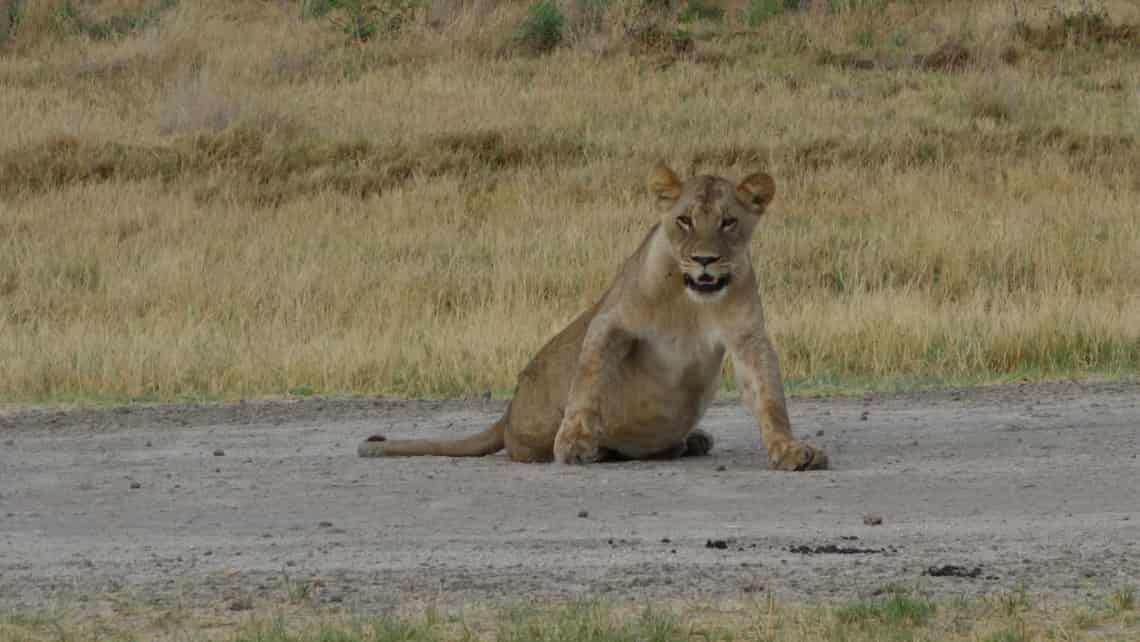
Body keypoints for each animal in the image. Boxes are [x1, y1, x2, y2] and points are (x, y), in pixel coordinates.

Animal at [362, 163, 829, 469]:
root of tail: (507, 414)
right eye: (684, 220)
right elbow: (588, 378)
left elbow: (769, 396)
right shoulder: (612, 322)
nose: (704, 261)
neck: (690, 302)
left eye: (729, 222)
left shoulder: (748, 336)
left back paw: (690, 440)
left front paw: (790, 450)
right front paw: (574, 442)